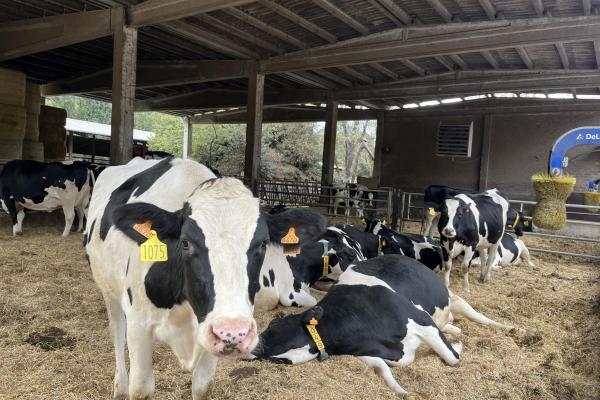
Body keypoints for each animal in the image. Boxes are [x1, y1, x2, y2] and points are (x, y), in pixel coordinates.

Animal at [84, 158, 324, 398]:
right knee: (116, 331)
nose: (234, 333)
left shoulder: (210, 329)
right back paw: (120, 387)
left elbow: (202, 386)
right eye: (185, 243)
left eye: (263, 244)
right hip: (109, 291)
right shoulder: (138, 325)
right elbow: (141, 388)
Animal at [251, 255, 524, 396]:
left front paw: (458, 346)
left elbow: (452, 358)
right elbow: (384, 368)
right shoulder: (368, 352)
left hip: (452, 299)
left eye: (273, 325)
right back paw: (455, 330)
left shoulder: (422, 321)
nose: (250, 348)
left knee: (480, 317)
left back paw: (516, 330)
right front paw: (401, 390)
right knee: (452, 325)